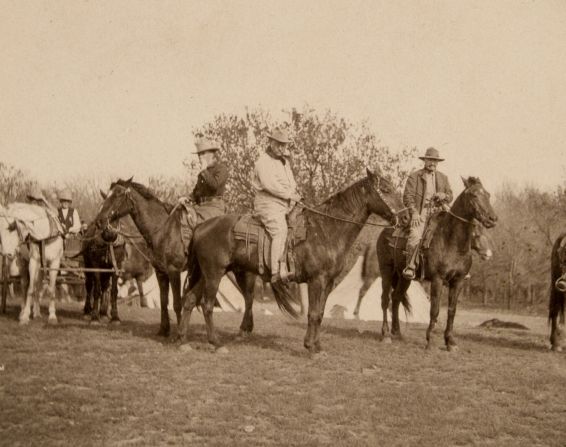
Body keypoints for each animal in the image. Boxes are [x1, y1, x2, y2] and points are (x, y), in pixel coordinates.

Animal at [180, 170, 402, 356]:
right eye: (386, 189)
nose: (404, 216)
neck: (326, 230)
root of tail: (201, 226)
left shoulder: (328, 282)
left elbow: (320, 313)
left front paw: (318, 346)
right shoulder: (316, 280)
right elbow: (313, 313)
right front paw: (310, 347)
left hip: (206, 274)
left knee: (190, 300)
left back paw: (184, 342)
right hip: (214, 274)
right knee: (207, 305)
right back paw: (216, 343)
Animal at [380, 177, 500, 352]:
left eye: (488, 194)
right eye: (473, 195)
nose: (492, 219)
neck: (451, 242)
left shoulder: (458, 281)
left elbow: (451, 311)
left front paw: (450, 341)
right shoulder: (438, 280)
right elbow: (434, 310)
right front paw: (430, 340)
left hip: (404, 277)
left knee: (396, 298)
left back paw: (397, 333)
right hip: (386, 272)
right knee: (385, 300)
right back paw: (386, 335)